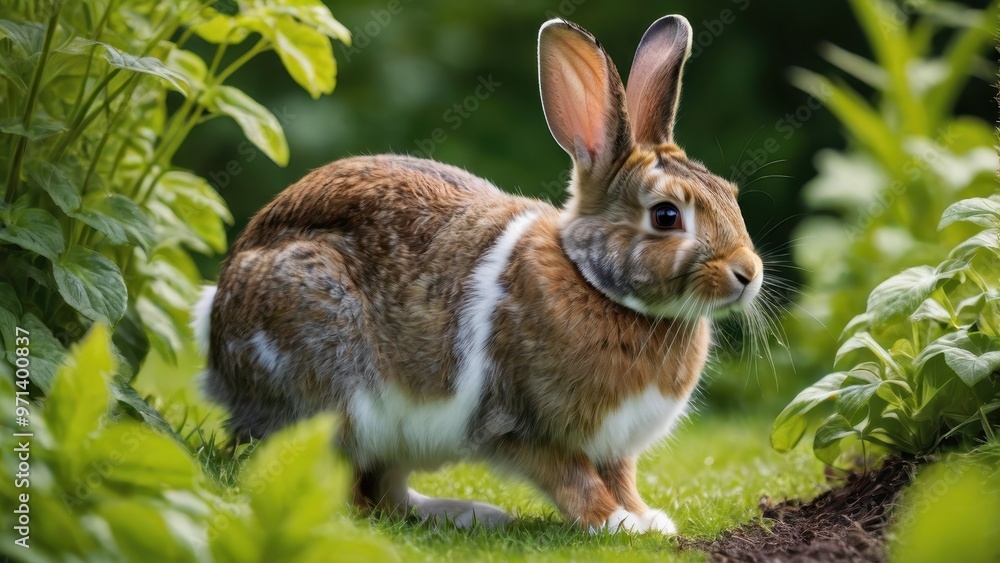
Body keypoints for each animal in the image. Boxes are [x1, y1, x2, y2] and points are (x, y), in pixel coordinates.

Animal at [193, 14, 763, 534]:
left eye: (729, 193)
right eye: (666, 216)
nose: (748, 273)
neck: (596, 285)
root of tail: (215, 337)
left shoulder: (614, 446)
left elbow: (620, 478)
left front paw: (648, 519)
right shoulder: (521, 427)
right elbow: (576, 481)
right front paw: (615, 523)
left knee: (387, 491)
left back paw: (469, 514)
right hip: (334, 385)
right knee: (345, 485)